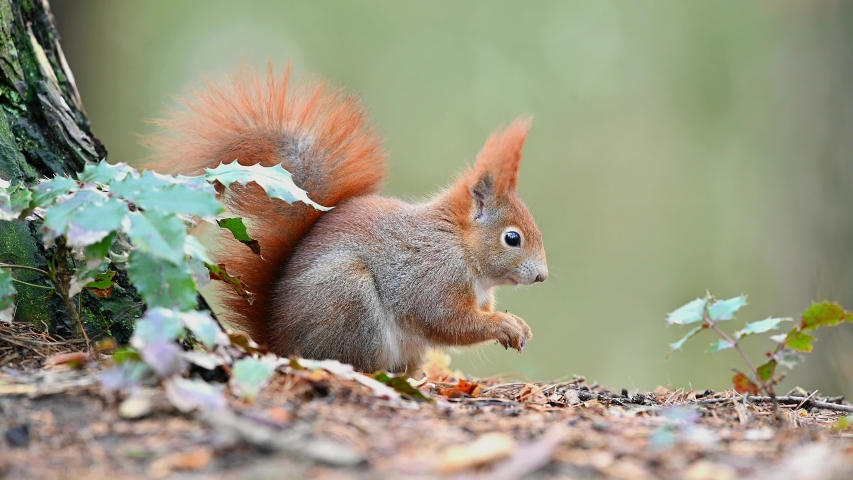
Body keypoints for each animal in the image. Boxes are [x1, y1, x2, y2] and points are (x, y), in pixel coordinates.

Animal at [146, 66, 544, 376]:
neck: (461, 246)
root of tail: (279, 343)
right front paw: (504, 324)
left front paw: (517, 325)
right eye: (512, 238)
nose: (542, 276)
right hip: (348, 297)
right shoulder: (432, 275)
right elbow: (445, 320)